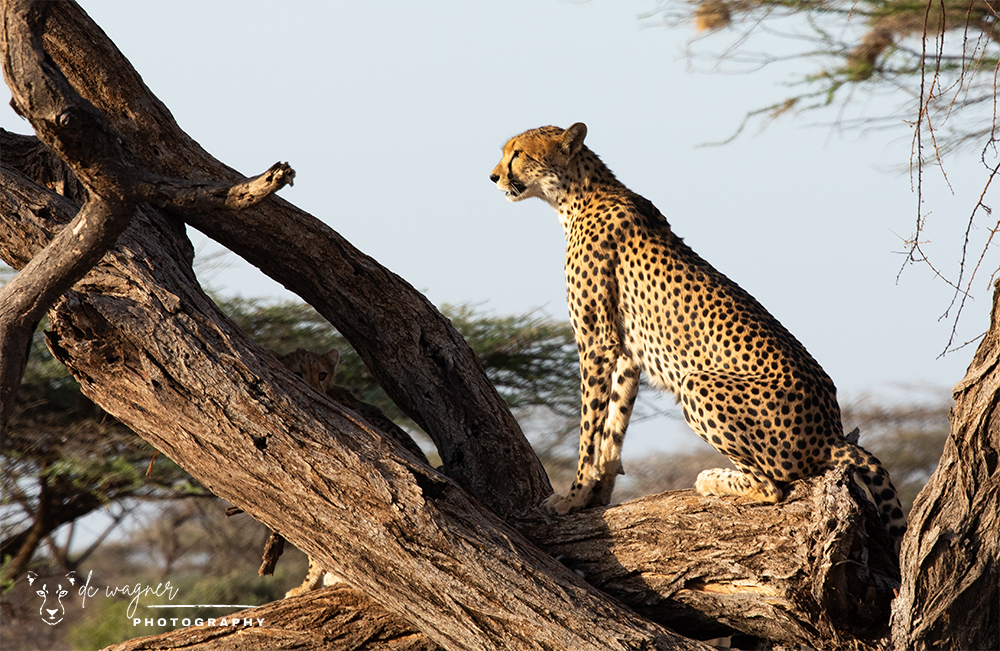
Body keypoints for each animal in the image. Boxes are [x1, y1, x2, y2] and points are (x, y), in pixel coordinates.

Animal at [490, 122, 907, 553]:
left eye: (518, 154)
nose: (493, 176)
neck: (579, 195)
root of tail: (830, 432)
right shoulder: (626, 353)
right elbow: (614, 425)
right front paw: (598, 494)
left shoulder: (596, 342)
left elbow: (589, 427)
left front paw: (572, 496)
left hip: (698, 383)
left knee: (773, 484)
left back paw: (713, 479)